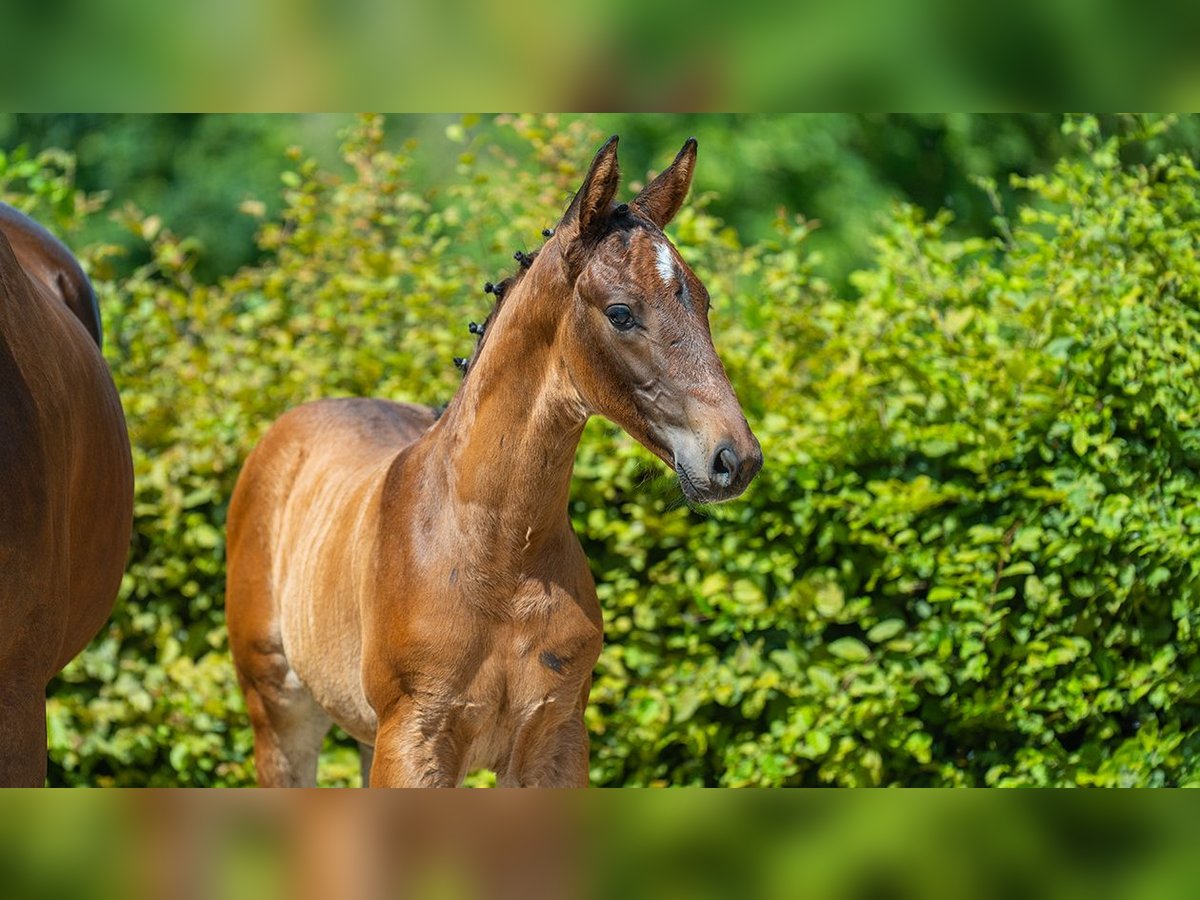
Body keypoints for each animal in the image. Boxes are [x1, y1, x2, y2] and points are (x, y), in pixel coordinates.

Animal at [229, 135, 763, 787]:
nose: (734, 458)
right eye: (620, 312)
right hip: (280, 712)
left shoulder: (555, 739)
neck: (501, 557)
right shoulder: (414, 742)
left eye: (704, 302)